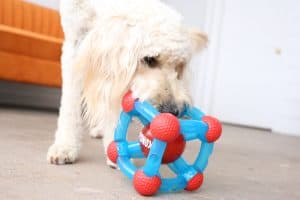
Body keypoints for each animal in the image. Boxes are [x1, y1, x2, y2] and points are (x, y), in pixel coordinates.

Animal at [47, 0, 207, 166]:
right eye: (149, 59)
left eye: (179, 67)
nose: (173, 111)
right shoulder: (74, 41)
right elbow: (70, 104)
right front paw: (65, 146)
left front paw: (114, 146)